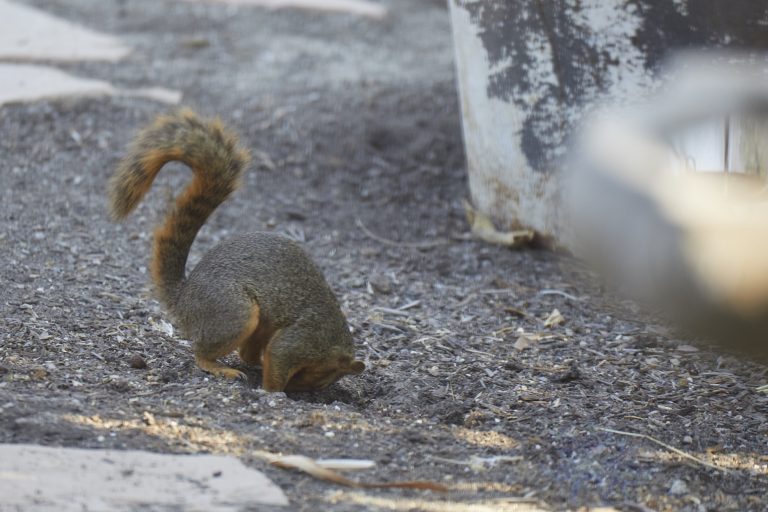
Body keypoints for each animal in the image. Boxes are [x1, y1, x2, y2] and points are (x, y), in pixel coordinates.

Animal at [108, 109, 365, 392]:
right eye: (321, 376)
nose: (299, 391)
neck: (332, 339)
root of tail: (183, 300)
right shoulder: (301, 339)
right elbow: (278, 357)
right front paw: (273, 392)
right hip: (236, 314)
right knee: (202, 352)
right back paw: (222, 368)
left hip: (260, 323)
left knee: (246, 354)